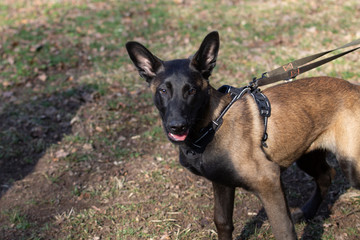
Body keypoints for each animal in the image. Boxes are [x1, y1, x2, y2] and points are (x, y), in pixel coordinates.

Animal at [126, 31, 360, 240]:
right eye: (163, 91)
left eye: (191, 91)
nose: (177, 127)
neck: (213, 124)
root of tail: (354, 88)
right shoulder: (221, 183)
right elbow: (222, 222)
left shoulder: (269, 182)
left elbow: (284, 231)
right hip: (306, 154)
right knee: (326, 175)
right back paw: (307, 212)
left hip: (350, 165)